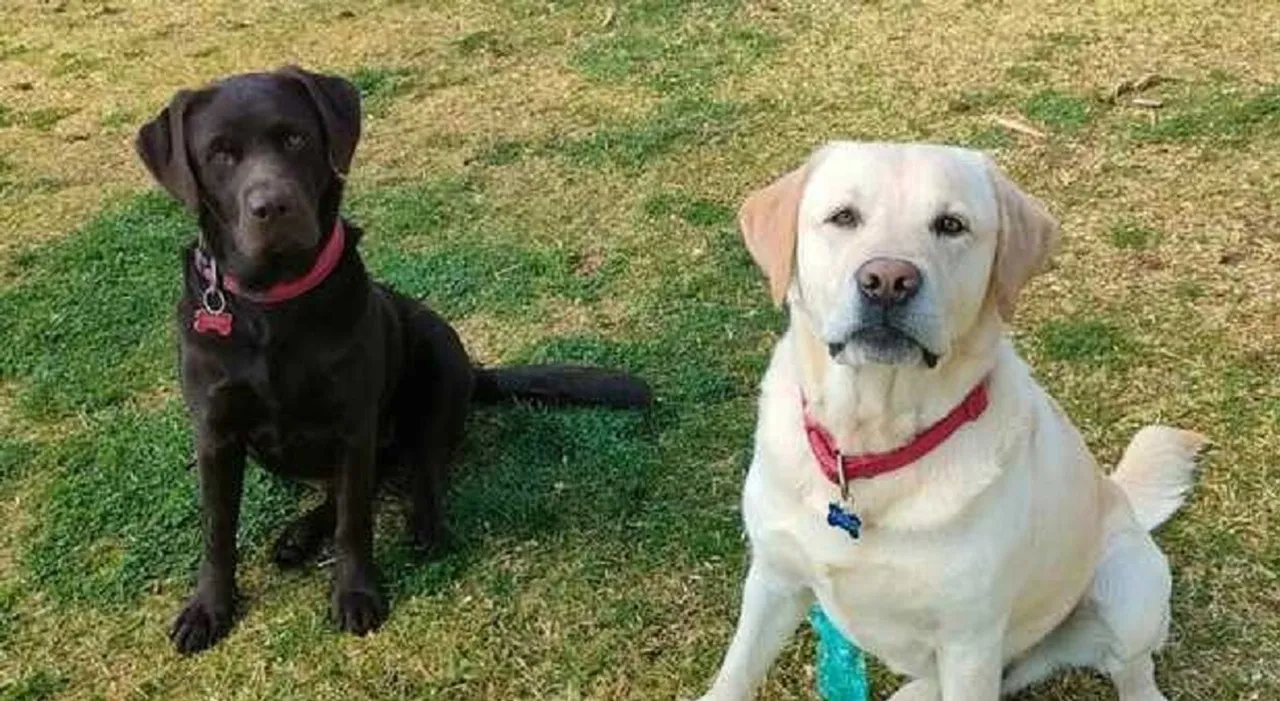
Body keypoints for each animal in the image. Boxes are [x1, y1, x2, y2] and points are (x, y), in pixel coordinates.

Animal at [135, 66, 652, 654]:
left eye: (294, 138)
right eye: (220, 153)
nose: (272, 206)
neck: (275, 305)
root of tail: (476, 372)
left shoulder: (353, 426)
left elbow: (355, 521)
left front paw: (355, 593)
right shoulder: (216, 436)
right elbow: (218, 531)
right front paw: (208, 608)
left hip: (437, 365)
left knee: (418, 469)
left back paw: (421, 524)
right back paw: (298, 536)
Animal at [698, 142, 1205, 700]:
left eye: (950, 225)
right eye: (843, 217)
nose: (888, 282)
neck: (872, 445)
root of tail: (1119, 496)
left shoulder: (969, 641)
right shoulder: (774, 579)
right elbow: (735, 672)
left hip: (1129, 584)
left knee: (1133, 666)